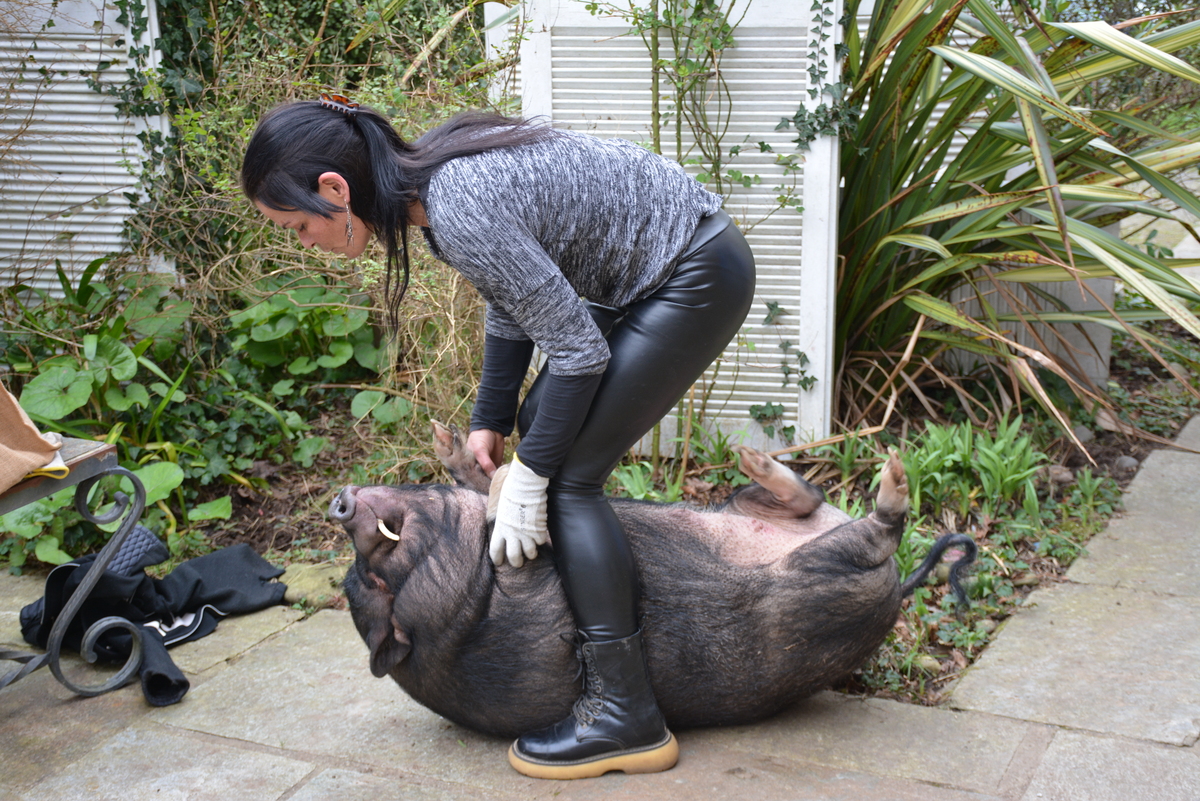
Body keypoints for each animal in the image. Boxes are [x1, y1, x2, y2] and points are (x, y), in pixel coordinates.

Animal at [333, 424, 969, 738]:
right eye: (374, 577)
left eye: (355, 575)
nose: (340, 504)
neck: (464, 612)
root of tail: (896, 589)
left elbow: (485, 485)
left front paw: (455, 447)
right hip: (824, 573)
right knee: (881, 529)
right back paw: (891, 480)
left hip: (747, 506)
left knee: (803, 497)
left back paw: (754, 458)